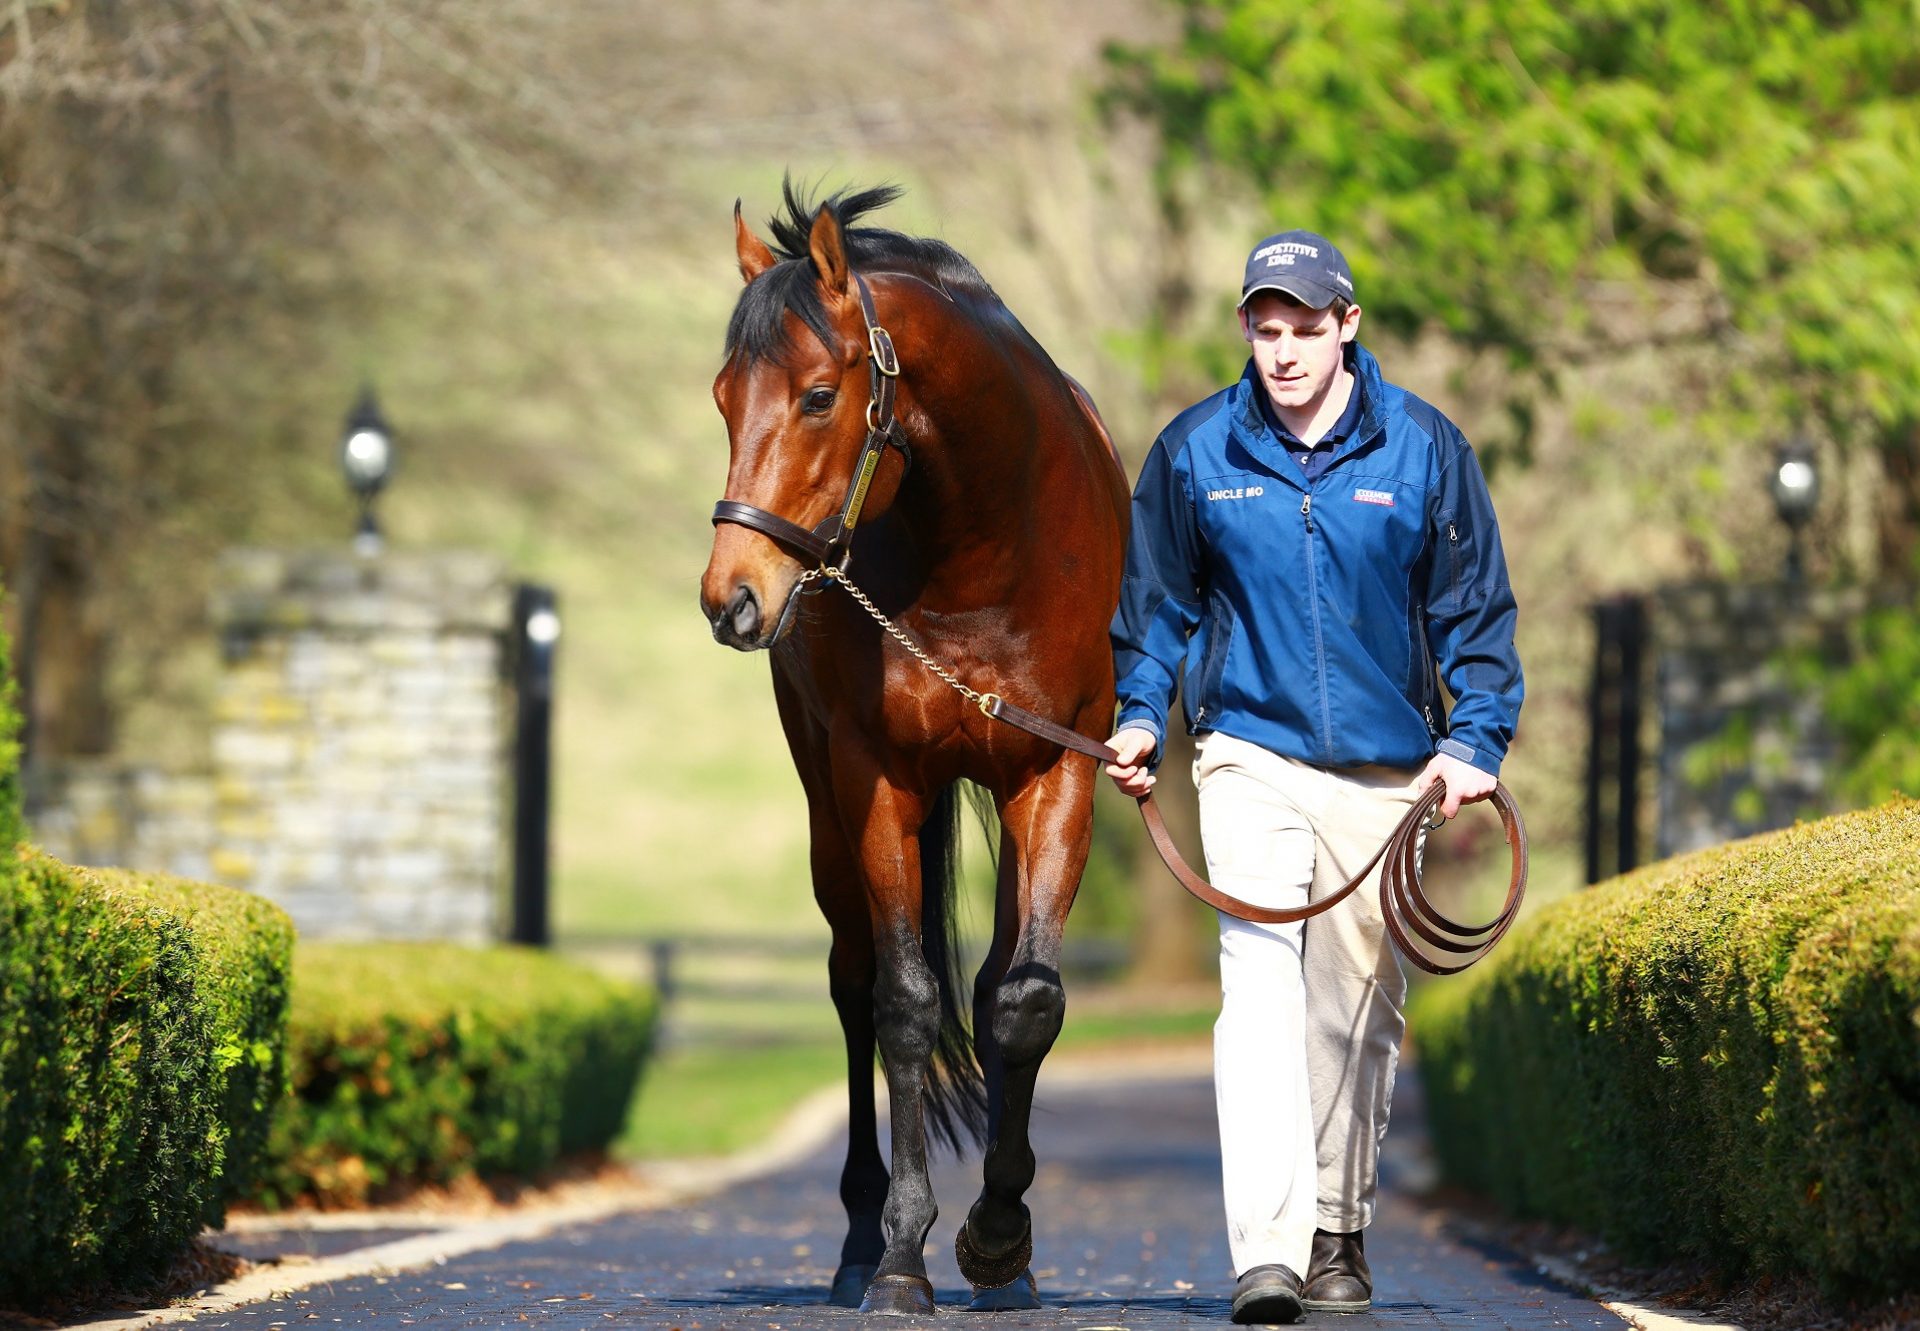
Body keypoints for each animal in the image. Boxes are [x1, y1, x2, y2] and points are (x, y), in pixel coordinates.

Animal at [702, 181, 1121, 1313]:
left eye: (815, 396)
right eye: (722, 398)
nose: (730, 596)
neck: (985, 545)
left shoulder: (1059, 769)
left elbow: (1024, 1001)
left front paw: (999, 1238)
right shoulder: (876, 779)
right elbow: (902, 1005)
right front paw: (901, 1254)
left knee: (990, 988)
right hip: (827, 812)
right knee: (854, 983)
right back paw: (857, 1241)